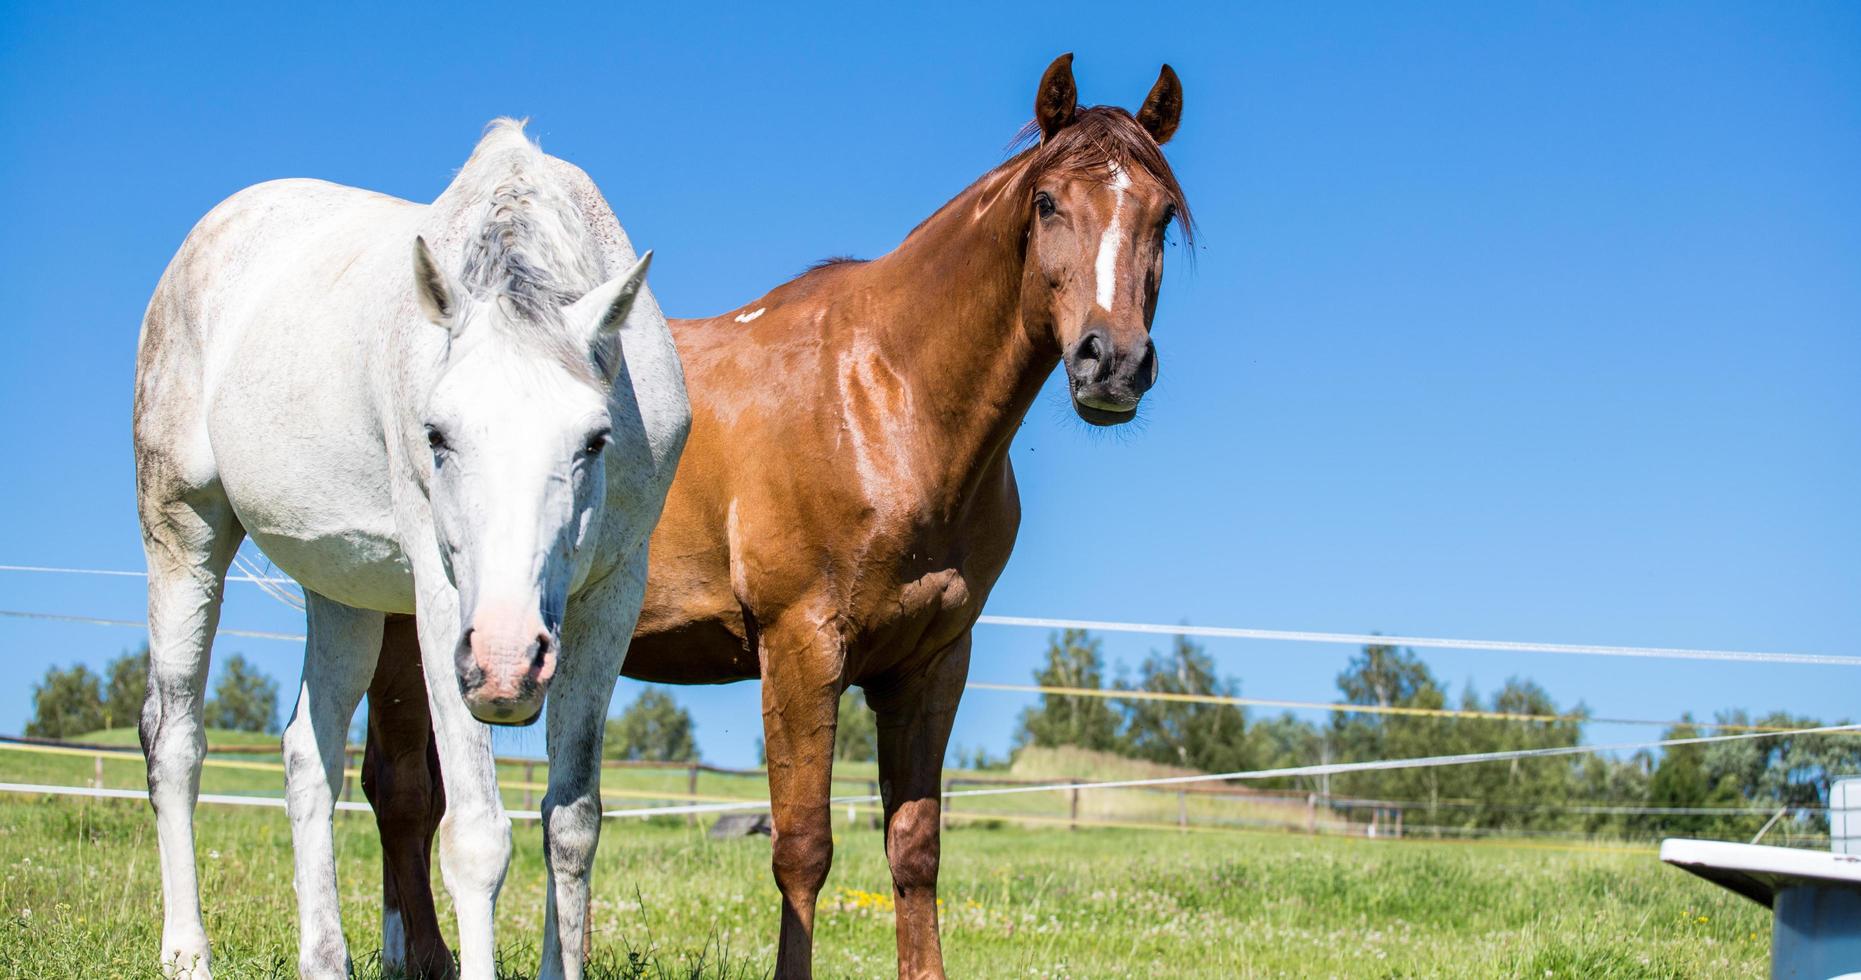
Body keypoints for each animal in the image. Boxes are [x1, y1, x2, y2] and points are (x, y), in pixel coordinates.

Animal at [133, 122, 692, 980]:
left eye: (594, 440)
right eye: (437, 434)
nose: (505, 663)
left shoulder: (611, 594)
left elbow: (571, 823)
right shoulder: (439, 597)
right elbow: (476, 838)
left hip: (343, 596)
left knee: (307, 756)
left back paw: (324, 959)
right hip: (182, 533)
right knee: (175, 739)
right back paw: (187, 951)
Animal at [362, 55, 1191, 980]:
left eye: (1160, 215)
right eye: (1048, 202)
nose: (1111, 363)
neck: (883, 399)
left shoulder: (931, 664)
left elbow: (915, 848)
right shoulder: (800, 648)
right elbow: (802, 849)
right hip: (415, 628)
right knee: (402, 792)